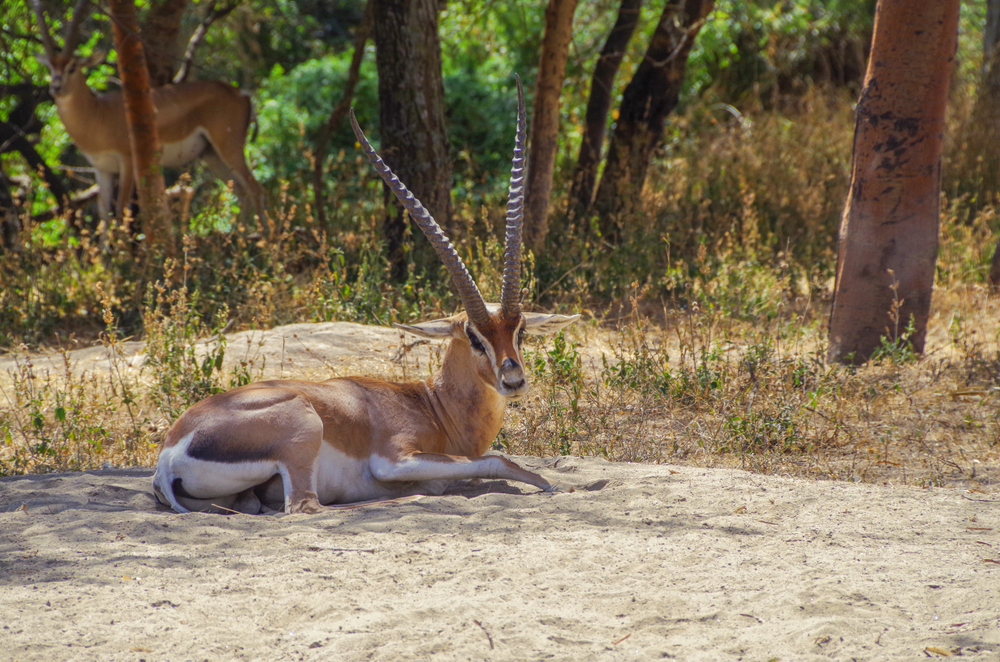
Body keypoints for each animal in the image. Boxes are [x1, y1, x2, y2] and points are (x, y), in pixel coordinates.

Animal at [33, 0, 264, 223]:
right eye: (50, 67)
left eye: (72, 67)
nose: (56, 88)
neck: (98, 115)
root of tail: (242, 95)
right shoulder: (102, 169)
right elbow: (103, 217)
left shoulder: (127, 162)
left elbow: (120, 210)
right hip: (211, 155)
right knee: (242, 192)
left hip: (228, 147)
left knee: (256, 189)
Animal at [152, 76, 584, 512]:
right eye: (474, 337)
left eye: (520, 331)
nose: (513, 379)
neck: (431, 403)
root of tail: (168, 457)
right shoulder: (395, 459)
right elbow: (497, 459)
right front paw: (557, 486)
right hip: (304, 428)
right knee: (304, 506)